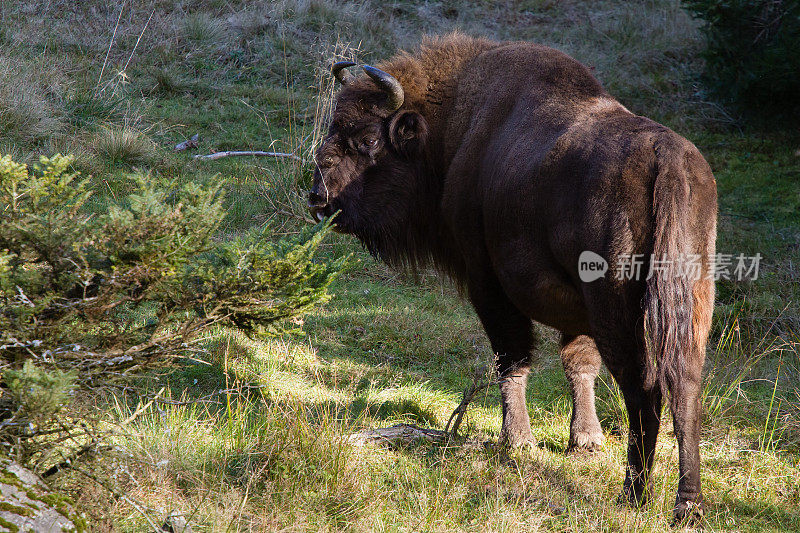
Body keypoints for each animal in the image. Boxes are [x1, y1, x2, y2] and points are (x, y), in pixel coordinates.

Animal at [308, 32, 720, 520]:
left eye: (369, 138)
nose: (318, 196)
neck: (456, 127)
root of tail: (666, 159)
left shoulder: (487, 284)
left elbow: (513, 358)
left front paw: (517, 440)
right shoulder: (573, 308)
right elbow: (578, 363)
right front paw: (585, 440)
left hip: (617, 307)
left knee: (644, 390)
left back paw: (634, 494)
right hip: (689, 301)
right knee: (685, 386)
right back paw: (688, 505)